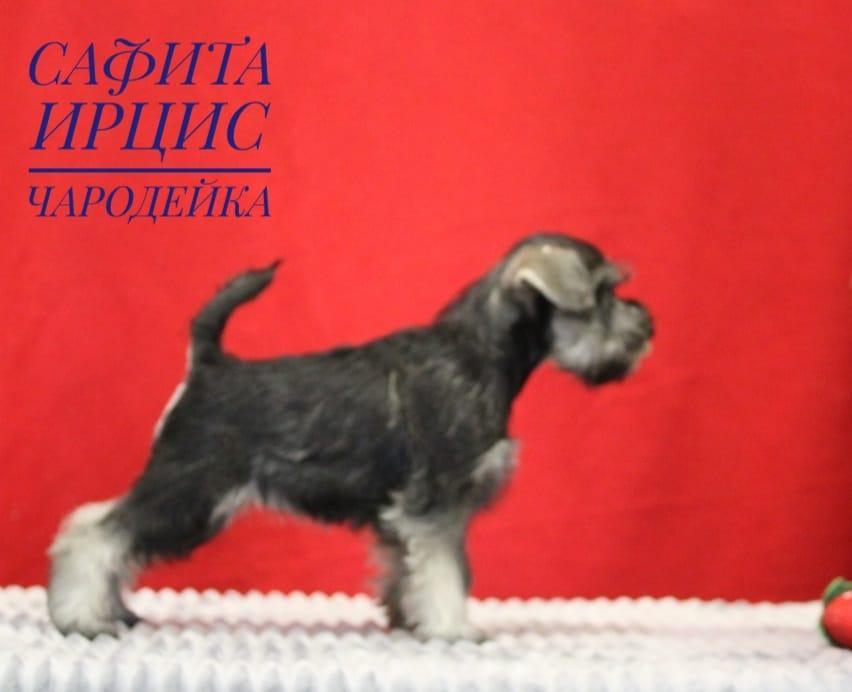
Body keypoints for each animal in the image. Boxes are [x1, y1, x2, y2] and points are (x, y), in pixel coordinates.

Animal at [47, 232, 654, 640]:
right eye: (603, 293)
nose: (647, 326)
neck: (480, 353)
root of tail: (209, 363)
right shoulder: (439, 503)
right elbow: (446, 571)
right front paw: (453, 628)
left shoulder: (407, 513)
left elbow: (408, 568)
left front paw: (408, 618)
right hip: (190, 491)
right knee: (93, 533)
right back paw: (80, 616)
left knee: (104, 530)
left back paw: (110, 609)